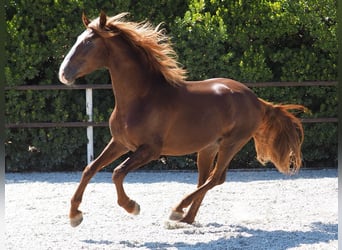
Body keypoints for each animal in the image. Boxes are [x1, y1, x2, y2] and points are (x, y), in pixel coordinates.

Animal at [58, 11, 304, 227]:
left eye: (88, 43)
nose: (63, 74)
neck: (142, 98)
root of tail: (257, 101)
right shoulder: (120, 143)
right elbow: (90, 169)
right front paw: (74, 216)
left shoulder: (150, 150)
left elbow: (117, 173)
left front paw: (132, 206)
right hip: (208, 148)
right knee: (207, 179)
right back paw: (186, 218)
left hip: (231, 144)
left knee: (215, 178)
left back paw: (177, 210)